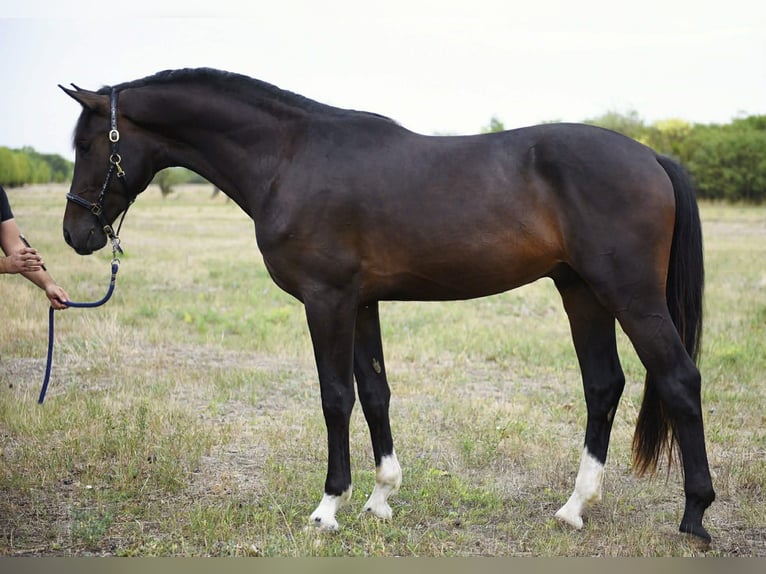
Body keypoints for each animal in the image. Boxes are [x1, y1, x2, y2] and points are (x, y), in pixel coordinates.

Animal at [60, 67, 715, 541]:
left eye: (89, 143)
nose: (75, 233)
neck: (290, 157)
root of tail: (652, 157)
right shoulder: (362, 302)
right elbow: (374, 393)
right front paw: (380, 498)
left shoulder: (326, 300)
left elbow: (335, 397)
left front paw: (328, 507)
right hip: (581, 291)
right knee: (603, 386)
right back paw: (575, 507)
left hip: (629, 295)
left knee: (679, 380)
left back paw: (695, 516)